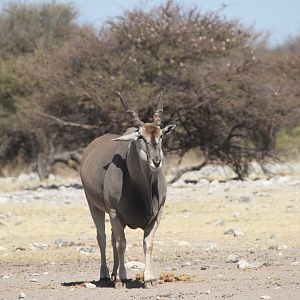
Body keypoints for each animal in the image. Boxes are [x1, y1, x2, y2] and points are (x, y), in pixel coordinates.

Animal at [79, 92, 176, 288]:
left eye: (161, 135)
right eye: (140, 137)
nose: (156, 161)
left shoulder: (157, 215)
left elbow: (148, 243)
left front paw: (149, 278)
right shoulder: (115, 213)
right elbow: (122, 243)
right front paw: (122, 278)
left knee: (111, 237)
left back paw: (114, 274)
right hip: (94, 206)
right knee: (102, 237)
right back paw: (106, 275)